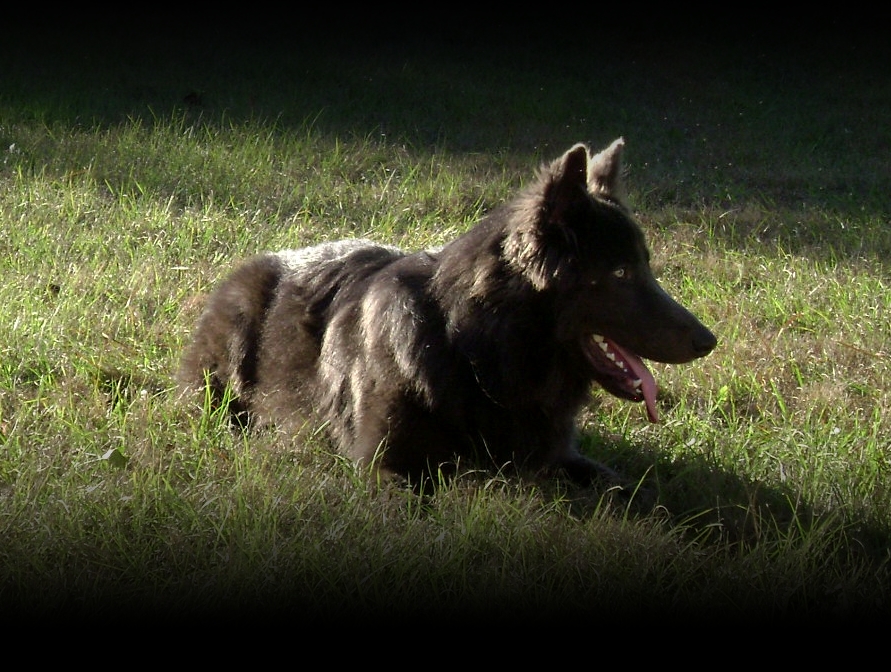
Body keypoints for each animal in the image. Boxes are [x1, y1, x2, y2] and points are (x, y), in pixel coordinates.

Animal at [178, 140, 716, 488]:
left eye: (645, 266)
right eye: (622, 273)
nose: (709, 341)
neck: (475, 353)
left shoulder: (562, 457)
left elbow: (632, 489)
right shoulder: (386, 467)